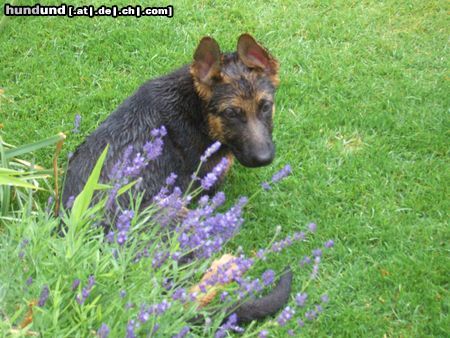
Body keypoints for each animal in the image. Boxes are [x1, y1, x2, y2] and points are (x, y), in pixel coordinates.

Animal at [61, 33, 292, 324]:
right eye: (231, 113)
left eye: (265, 106)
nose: (264, 159)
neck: (197, 109)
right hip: (178, 216)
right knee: (194, 293)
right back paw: (228, 266)